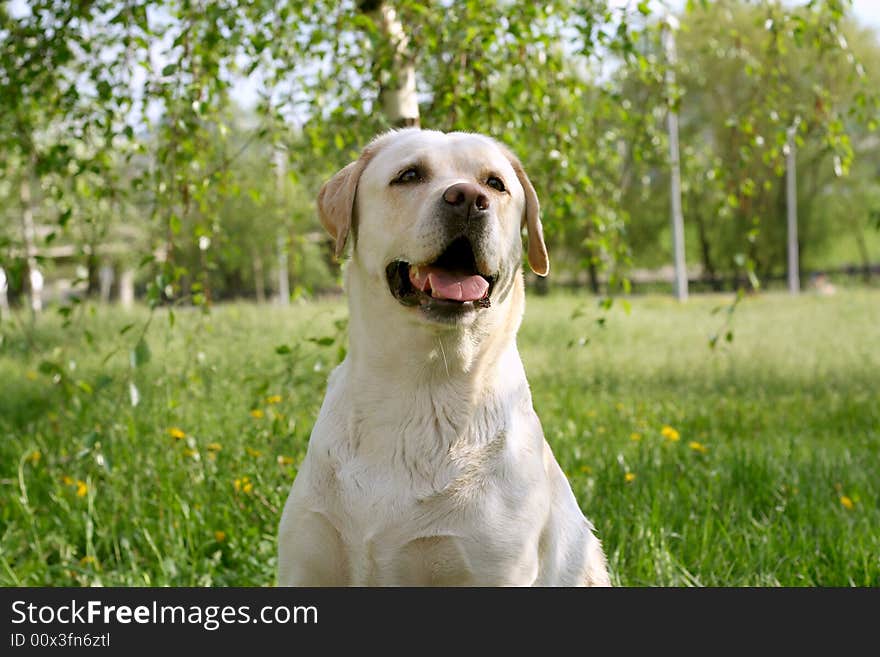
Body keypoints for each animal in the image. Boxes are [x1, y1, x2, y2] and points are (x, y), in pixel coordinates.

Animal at [278, 128, 608, 584]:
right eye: (409, 175)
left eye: (495, 183)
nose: (468, 198)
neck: (423, 385)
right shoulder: (308, 559)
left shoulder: (491, 566)